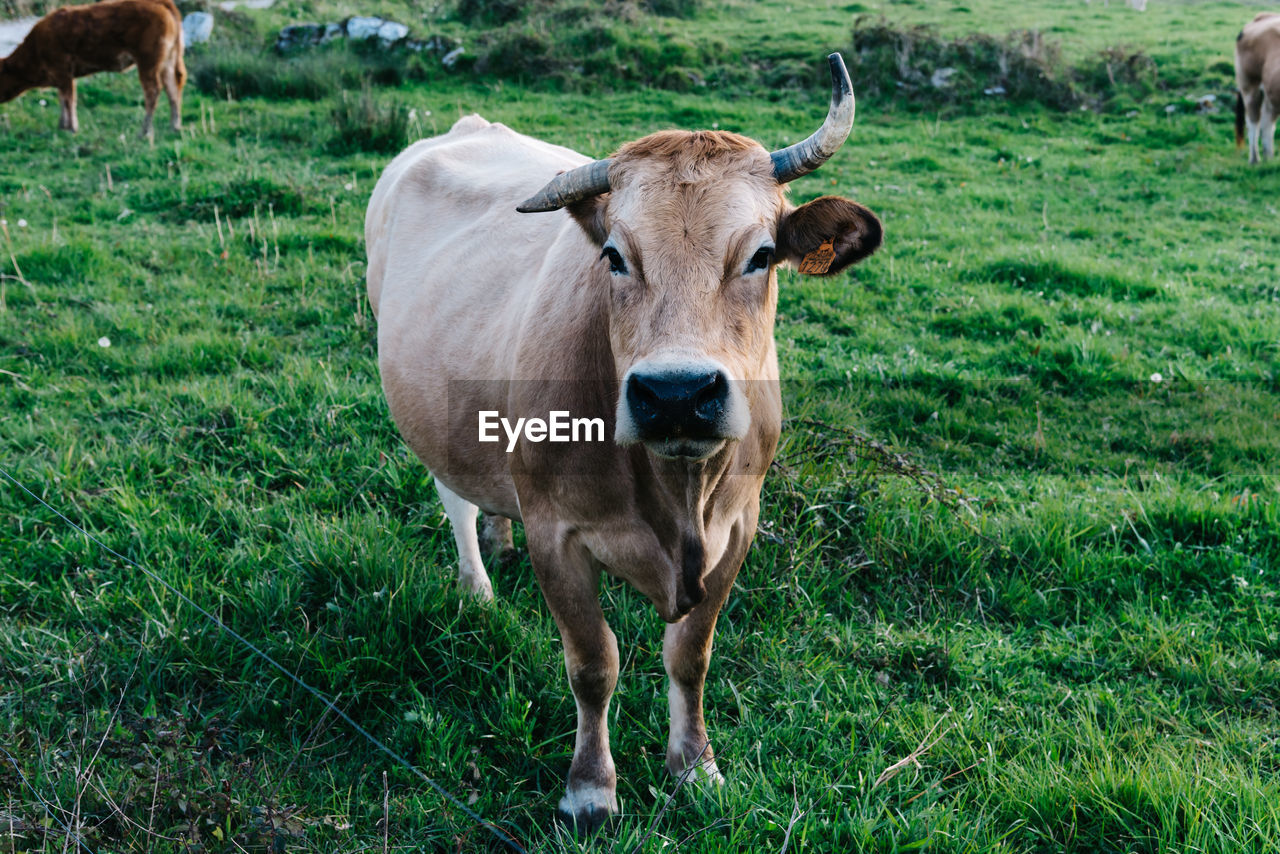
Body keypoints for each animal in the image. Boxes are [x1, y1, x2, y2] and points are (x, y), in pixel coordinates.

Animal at [0, 0, 186, 136]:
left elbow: (68, 100)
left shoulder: (63, 72)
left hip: (148, 63)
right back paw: (174, 127)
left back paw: (144, 131)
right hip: (167, 63)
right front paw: (62, 126)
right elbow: (62, 99)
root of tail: (159, 2)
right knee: (172, 88)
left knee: (153, 92)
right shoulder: (61, 76)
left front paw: (71, 128)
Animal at [366, 51, 875, 829]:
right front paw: (590, 789)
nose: (677, 394)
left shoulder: (739, 528)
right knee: (455, 498)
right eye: (613, 255)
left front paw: (695, 768)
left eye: (761, 255)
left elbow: (690, 654)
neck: (680, 496)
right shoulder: (558, 534)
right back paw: (477, 587)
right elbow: (593, 664)